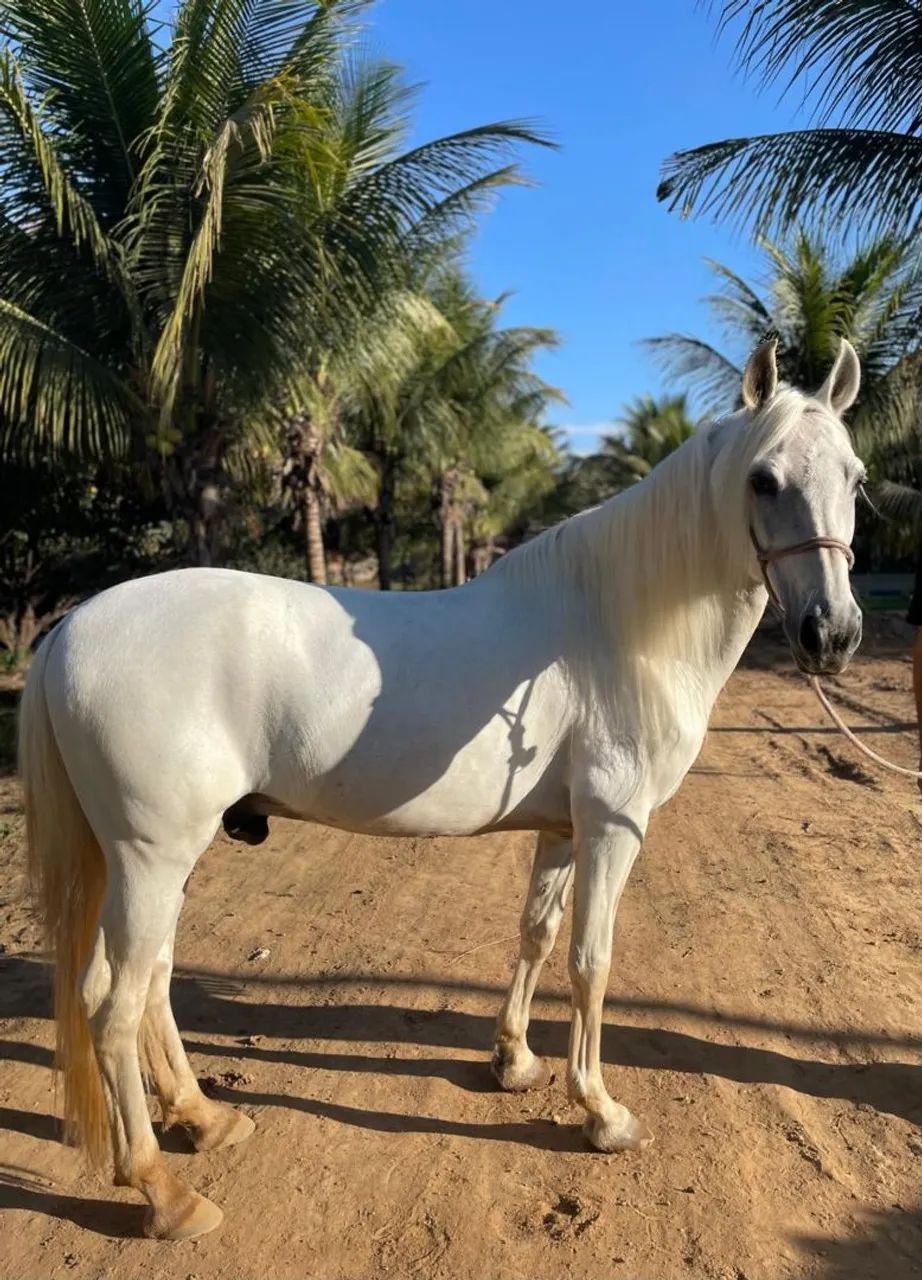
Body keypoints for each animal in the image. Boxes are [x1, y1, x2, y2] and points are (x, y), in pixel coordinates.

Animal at [19, 336, 865, 1239]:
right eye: (763, 479)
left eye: (853, 478)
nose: (831, 634)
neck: (610, 627)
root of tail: (67, 629)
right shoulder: (613, 826)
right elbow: (591, 961)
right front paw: (602, 1112)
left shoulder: (563, 830)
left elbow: (537, 936)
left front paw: (515, 1060)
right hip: (151, 857)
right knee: (112, 1004)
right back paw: (164, 1192)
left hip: (158, 862)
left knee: (153, 982)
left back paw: (204, 1119)